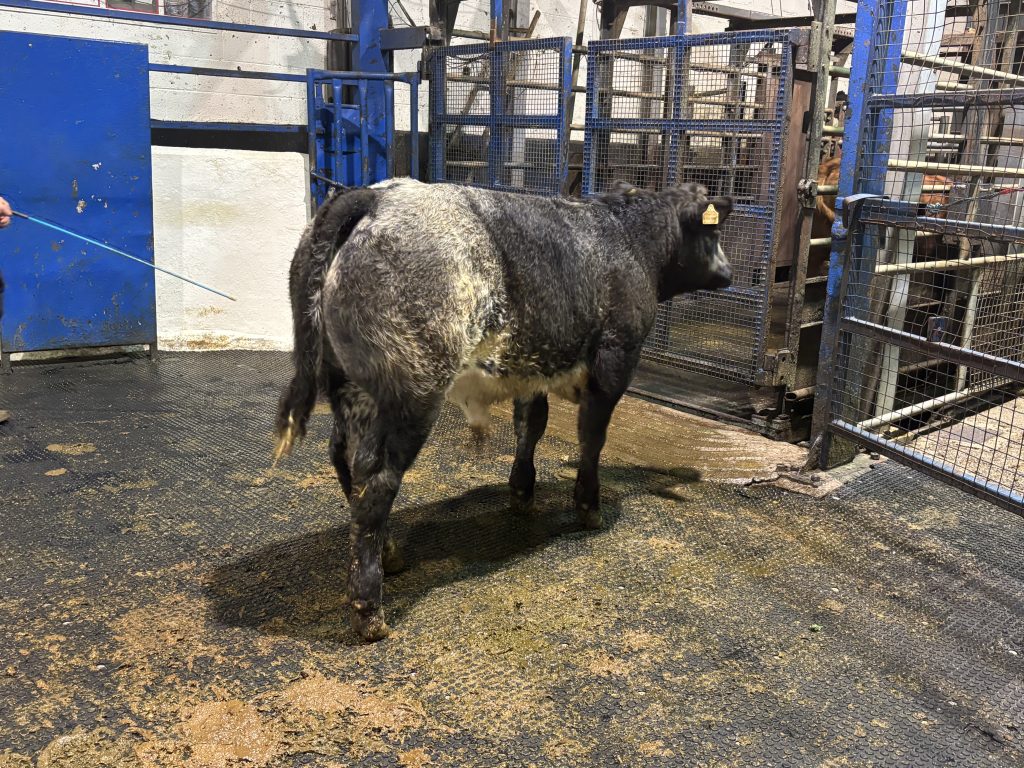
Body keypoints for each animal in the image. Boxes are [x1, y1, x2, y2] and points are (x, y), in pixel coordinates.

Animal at [274, 178, 733, 641]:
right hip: (410, 394)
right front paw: (589, 507)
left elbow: (530, 427)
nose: (730, 273)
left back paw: (390, 554)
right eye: (713, 231)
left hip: (348, 385)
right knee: (375, 478)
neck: (630, 238)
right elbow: (592, 438)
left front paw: (522, 493)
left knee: (344, 460)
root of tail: (377, 195)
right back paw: (370, 609)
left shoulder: (533, 370)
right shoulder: (614, 360)